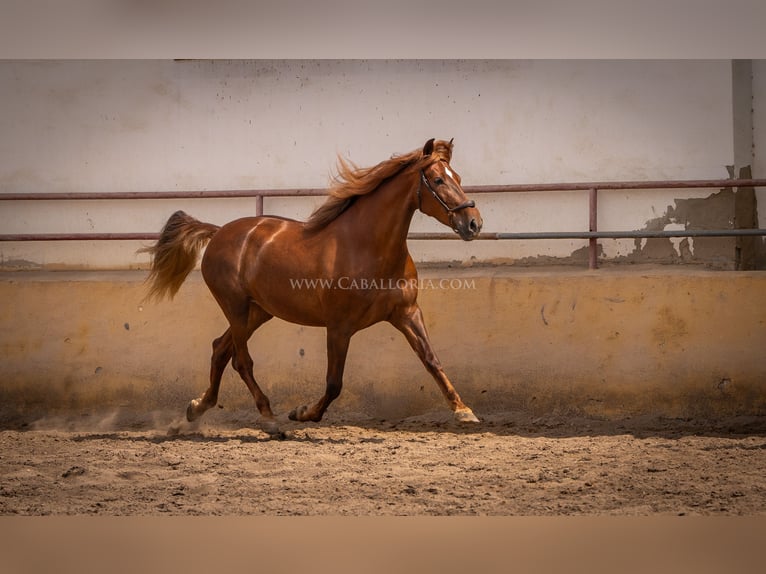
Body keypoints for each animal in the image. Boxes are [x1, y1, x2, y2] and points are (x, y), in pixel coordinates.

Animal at [141, 140, 484, 436]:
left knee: (219, 349)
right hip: (236, 307)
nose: (473, 223)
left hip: (259, 311)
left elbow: (431, 360)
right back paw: (269, 419)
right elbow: (334, 384)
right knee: (241, 360)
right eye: (438, 180)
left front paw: (463, 411)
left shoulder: (406, 313)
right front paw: (301, 412)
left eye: (458, 177)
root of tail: (218, 232)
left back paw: (195, 409)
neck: (366, 247)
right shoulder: (339, 327)